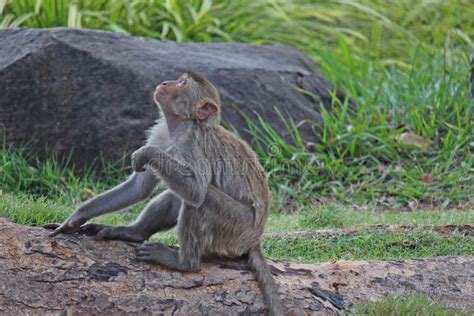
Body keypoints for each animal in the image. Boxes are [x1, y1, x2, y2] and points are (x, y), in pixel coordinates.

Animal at [46, 72, 286, 316]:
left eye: (182, 83)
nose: (165, 83)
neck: (180, 126)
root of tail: (255, 238)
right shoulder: (161, 134)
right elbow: (139, 187)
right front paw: (76, 217)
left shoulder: (192, 143)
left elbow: (196, 191)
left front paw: (148, 153)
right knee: (175, 197)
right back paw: (134, 233)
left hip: (237, 229)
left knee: (199, 202)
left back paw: (184, 263)